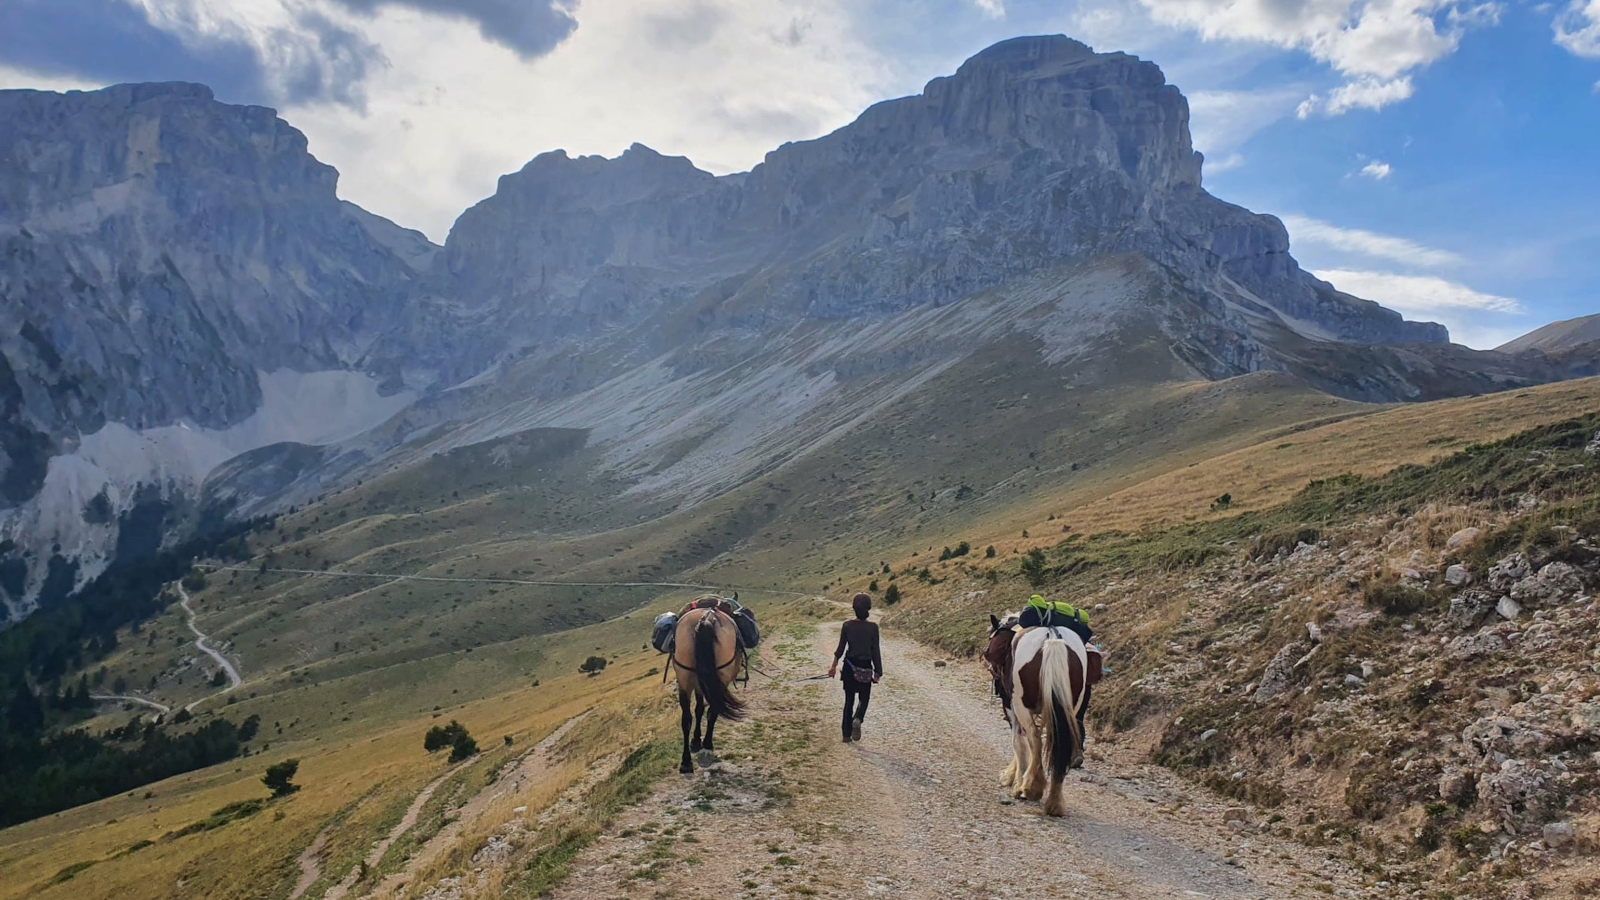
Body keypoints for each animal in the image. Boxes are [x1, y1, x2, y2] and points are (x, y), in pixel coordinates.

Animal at [668, 595, 742, 771]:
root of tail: (706, 619)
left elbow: (698, 709)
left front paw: (695, 741)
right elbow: (703, 710)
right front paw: (699, 741)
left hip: (684, 678)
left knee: (686, 718)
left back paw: (686, 761)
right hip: (720, 679)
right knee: (713, 711)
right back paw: (707, 745)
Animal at [979, 608, 1094, 813]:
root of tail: (1052, 638)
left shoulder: (1010, 707)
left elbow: (1019, 742)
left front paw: (1016, 780)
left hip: (1021, 704)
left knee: (1034, 738)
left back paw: (1031, 788)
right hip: (1070, 708)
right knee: (1058, 744)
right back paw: (1054, 800)